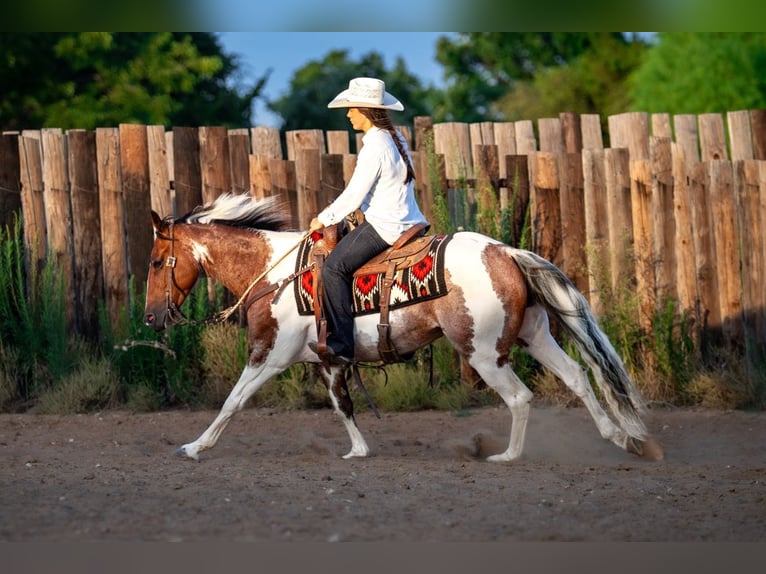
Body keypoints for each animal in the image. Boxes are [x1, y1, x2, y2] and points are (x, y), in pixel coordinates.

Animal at [143, 191, 663, 463]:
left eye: (154, 261)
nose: (151, 317)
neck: (273, 273)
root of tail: (506, 251)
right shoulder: (330, 360)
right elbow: (343, 405)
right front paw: (358, 451)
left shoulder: (268, 355)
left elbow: (233, 400)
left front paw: (195, 446)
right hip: (533, 335)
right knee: (578, 376)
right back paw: (621, 437)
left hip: (484, 353)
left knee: (521, 397)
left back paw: (508, 456)